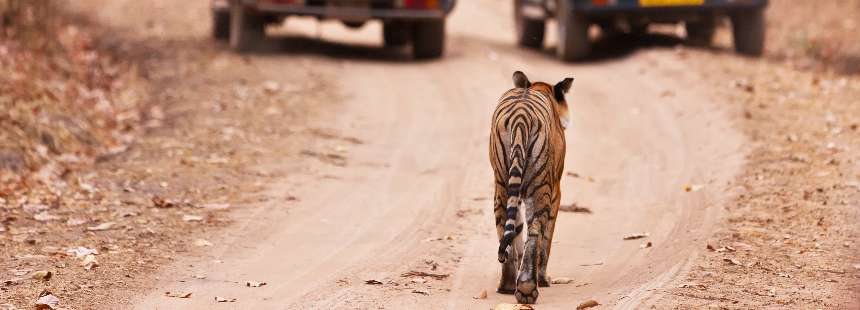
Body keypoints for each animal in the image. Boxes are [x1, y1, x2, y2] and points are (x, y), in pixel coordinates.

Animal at [488, 69, 576, 302]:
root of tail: (520, 117)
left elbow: (516, 230)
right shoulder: (556, 190)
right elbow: (547, 238)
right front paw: (544, 279)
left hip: (501, 184)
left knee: (504, 226)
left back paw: (508, 285)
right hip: (541, 186)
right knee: (536, 229)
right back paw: (528, 287)